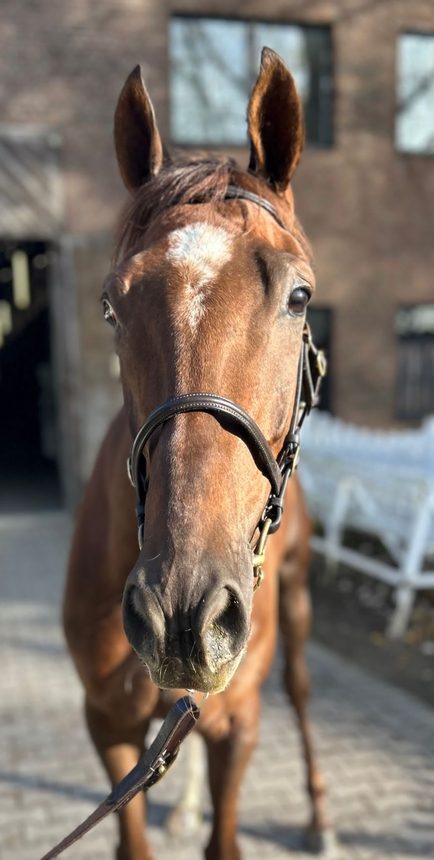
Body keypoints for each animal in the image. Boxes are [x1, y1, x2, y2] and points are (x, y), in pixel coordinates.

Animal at [63, 47, 330, 860]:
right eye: (110, 305)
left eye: (300, 296)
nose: (183, 612)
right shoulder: (108, 724)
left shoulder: (238, 727)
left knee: (301, 692)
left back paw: (320, 817)